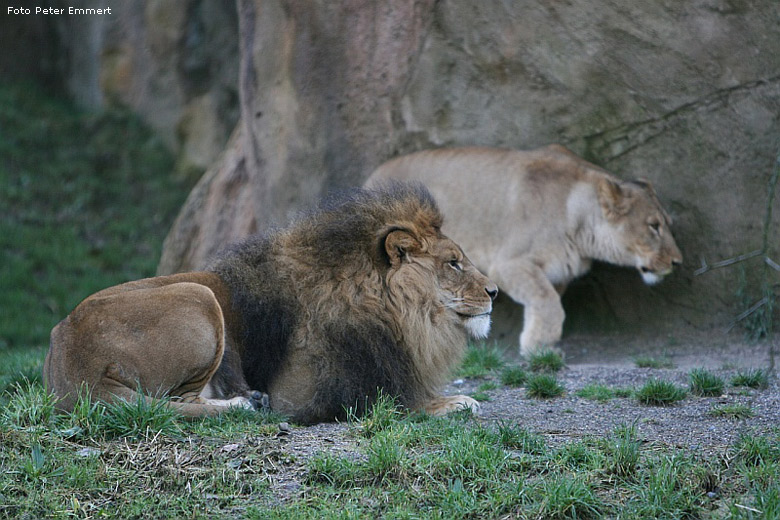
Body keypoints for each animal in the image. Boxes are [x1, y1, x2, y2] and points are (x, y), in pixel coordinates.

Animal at [42, 185, 496, 424]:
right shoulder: (301, 394)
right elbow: (395, 401)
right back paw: (244, 403)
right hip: (199, 297)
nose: (494, 292)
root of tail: (73, 368)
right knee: (178, 404)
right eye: (453, 262)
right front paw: (455, 402)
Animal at [366, 146, 684, 358]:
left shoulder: (558, 272)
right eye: (653, 226)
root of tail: (372, 176)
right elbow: (548, 302)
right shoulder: (509, 263)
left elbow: (549, 302)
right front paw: (537, 348)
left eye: (668, 224)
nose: (677, 262)